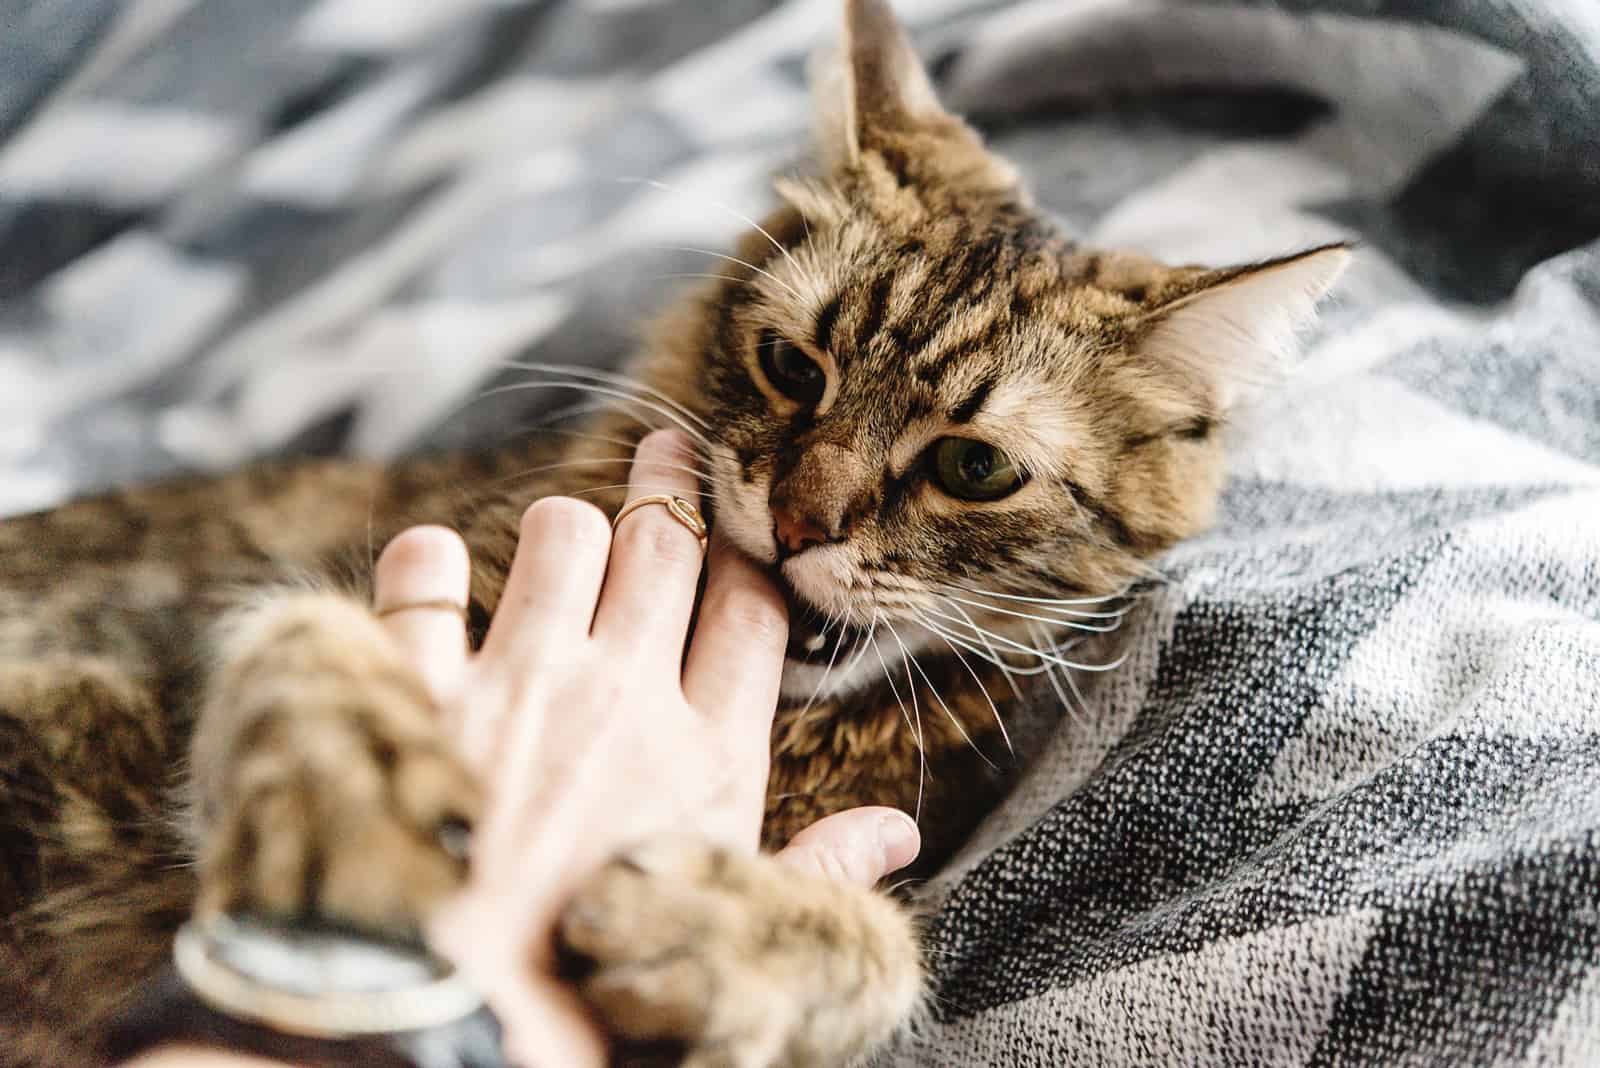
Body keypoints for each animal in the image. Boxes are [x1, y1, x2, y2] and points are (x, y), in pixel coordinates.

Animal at [0, 2, 1350, 1068]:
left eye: (973, 468)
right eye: (792, 368)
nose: (801, 520)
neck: (799, 734)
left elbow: (885, 954)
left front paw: (722, 938)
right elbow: (299, 636)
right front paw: (352, 793)